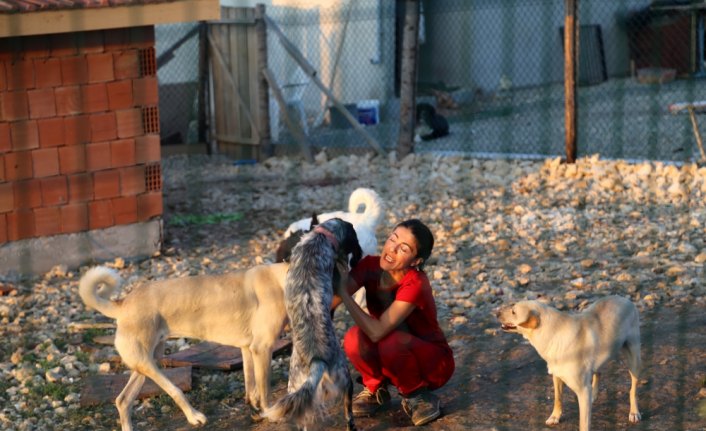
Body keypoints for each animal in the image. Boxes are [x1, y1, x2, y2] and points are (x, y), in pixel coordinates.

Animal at [81, 264, 290, 431]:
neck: (281, 279)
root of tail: (123, 305)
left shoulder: (247, 349)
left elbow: (251, 383)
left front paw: (254, 405)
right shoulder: (262, 349)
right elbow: (265, 390)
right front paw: (270, 413)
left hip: (146, 362)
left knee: (123, 400)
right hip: (148, 363)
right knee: (175, 390)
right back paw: (194, 416)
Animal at [496, 296, 640, 431]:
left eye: (514, 312)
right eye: (512, 306)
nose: (496, 312)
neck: (553, 333)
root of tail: (624, 298)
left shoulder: (583, 391)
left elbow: (583, 423)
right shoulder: (557, 376)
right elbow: (558, 398)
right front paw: (555, 417)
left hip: (633, 361)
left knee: (632, 389)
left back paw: (634, 412)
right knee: (598, 373)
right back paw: (594, 395)